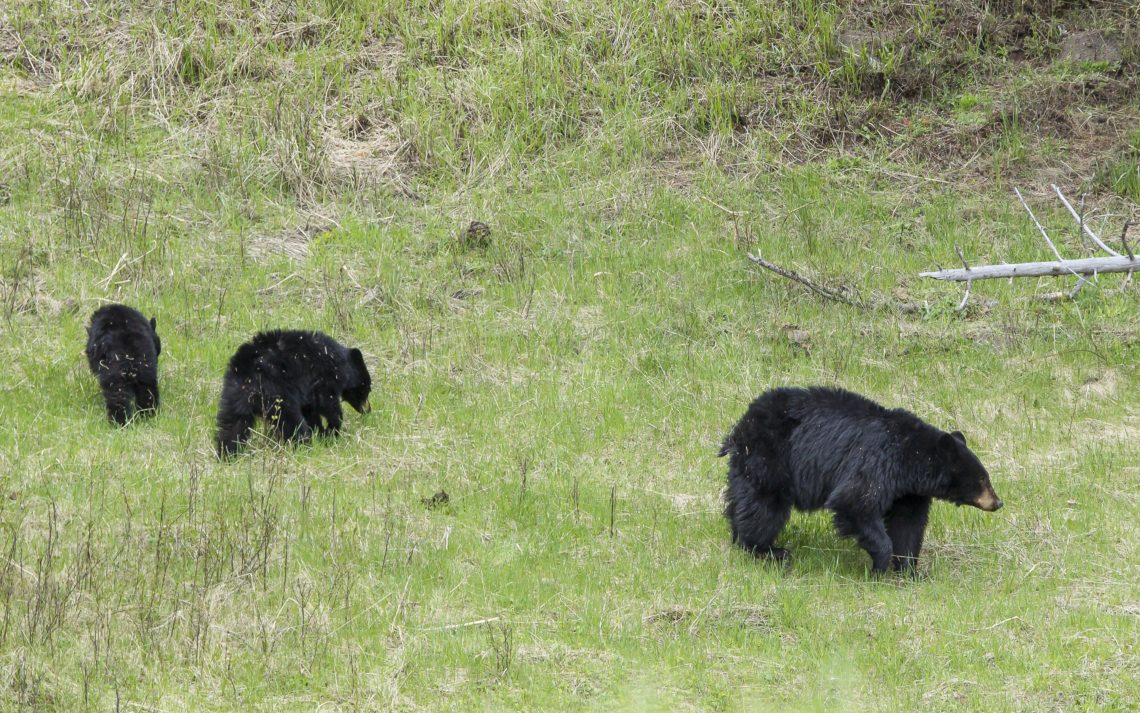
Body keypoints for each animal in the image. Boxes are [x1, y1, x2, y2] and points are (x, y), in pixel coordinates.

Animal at [215, 328, 371, 456]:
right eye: (367, 389)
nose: (368, 410)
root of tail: (249, 375)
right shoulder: (324, 376)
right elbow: (326, 402)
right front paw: (332, 430)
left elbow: (311, 411)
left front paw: (321, 433)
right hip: (277, 395)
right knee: (291, 423)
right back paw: (304, 446)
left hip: (233, 395)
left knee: (232, 424)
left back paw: (227, 453)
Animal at [715, 383, 1003, 572]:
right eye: (982, 478)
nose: (998, 503)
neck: (910, 457)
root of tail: (740, 427)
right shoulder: (876, 462)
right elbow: (855, 502)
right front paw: (881, 564)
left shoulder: (908, 491)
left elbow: (908, 523)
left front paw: (909, 569)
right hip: (770, 458)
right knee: (764, 507)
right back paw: (767, 549)